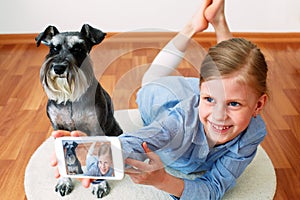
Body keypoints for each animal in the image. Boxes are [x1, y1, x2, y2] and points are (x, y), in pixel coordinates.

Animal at [35, 24, 123, 198]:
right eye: (53, 48)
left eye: (78, 48)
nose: (59, 68)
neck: (70, 99)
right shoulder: (58, 129)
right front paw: (64, 182)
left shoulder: (96, 128)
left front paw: (100, 184)